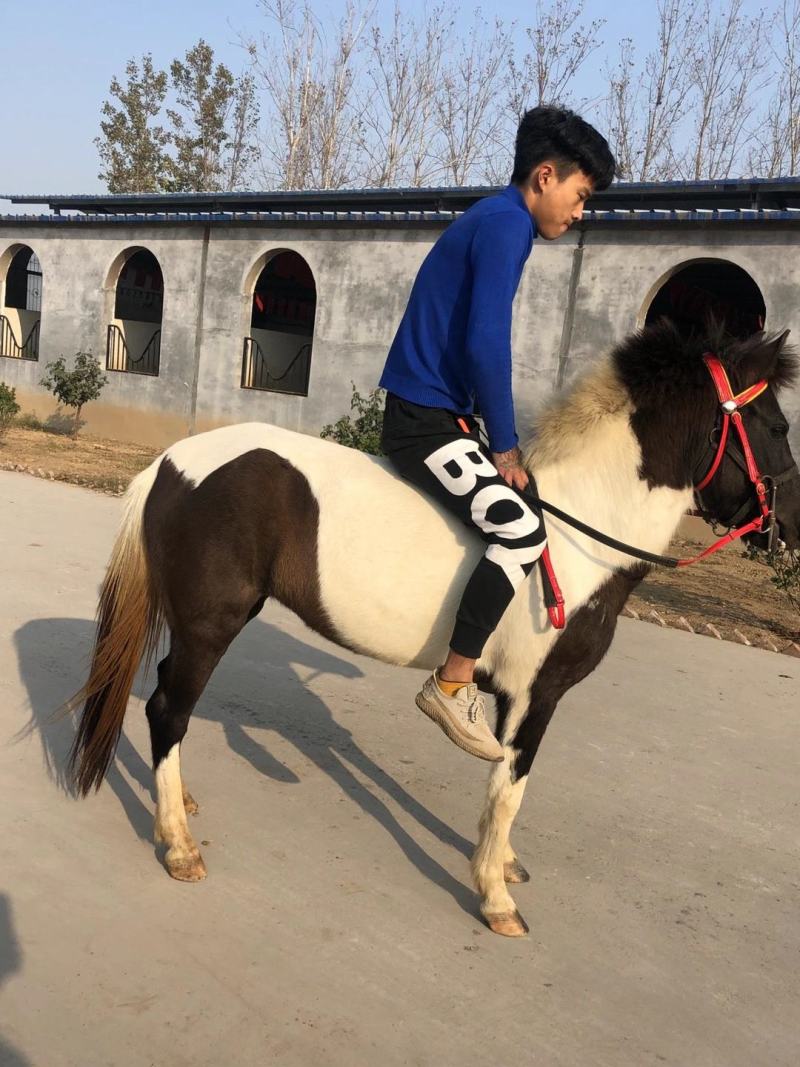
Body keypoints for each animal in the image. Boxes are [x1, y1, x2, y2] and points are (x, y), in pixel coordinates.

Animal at [66, 322, 800, 937]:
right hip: (212, 622)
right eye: (774, 422)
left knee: (170, 701)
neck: (582, 528)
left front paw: (501, 864)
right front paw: (495, 896)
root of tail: (172, 461)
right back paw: (177, 844)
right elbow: (509, 787)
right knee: (168, 707)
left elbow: (503, 789)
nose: (789, 525)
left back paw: (179, 802)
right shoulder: (536, 695)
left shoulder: (515, 696)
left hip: (210, 621)